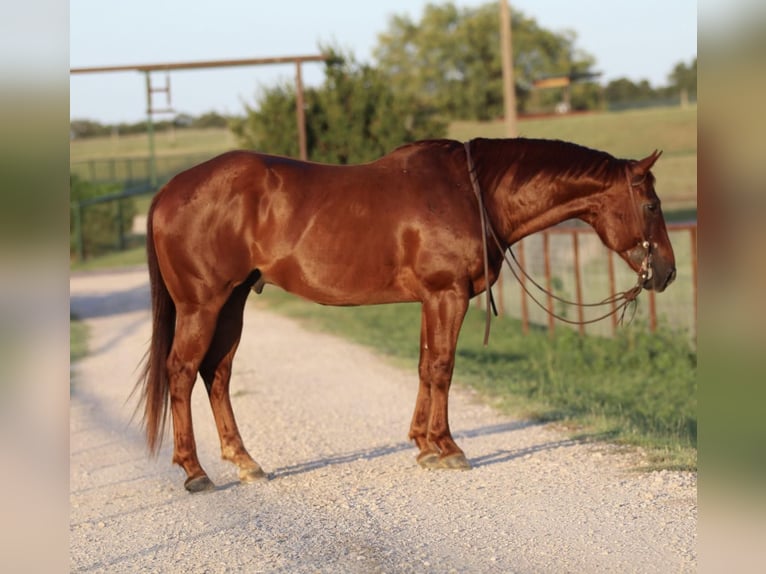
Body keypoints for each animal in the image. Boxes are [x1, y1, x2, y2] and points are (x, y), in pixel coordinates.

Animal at [138, 137, 680, 492]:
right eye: (652, 204)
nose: (668, 273)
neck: (473, 192)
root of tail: (166, 192)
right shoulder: (448, 296)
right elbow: (441, 368)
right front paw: (448, 448)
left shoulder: (433, 300)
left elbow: (424, 366)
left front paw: (423, 444)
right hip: (203, 305)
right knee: (182, 372)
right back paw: (195, 472)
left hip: (233, 302)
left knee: (217, 374)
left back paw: (245, 461)